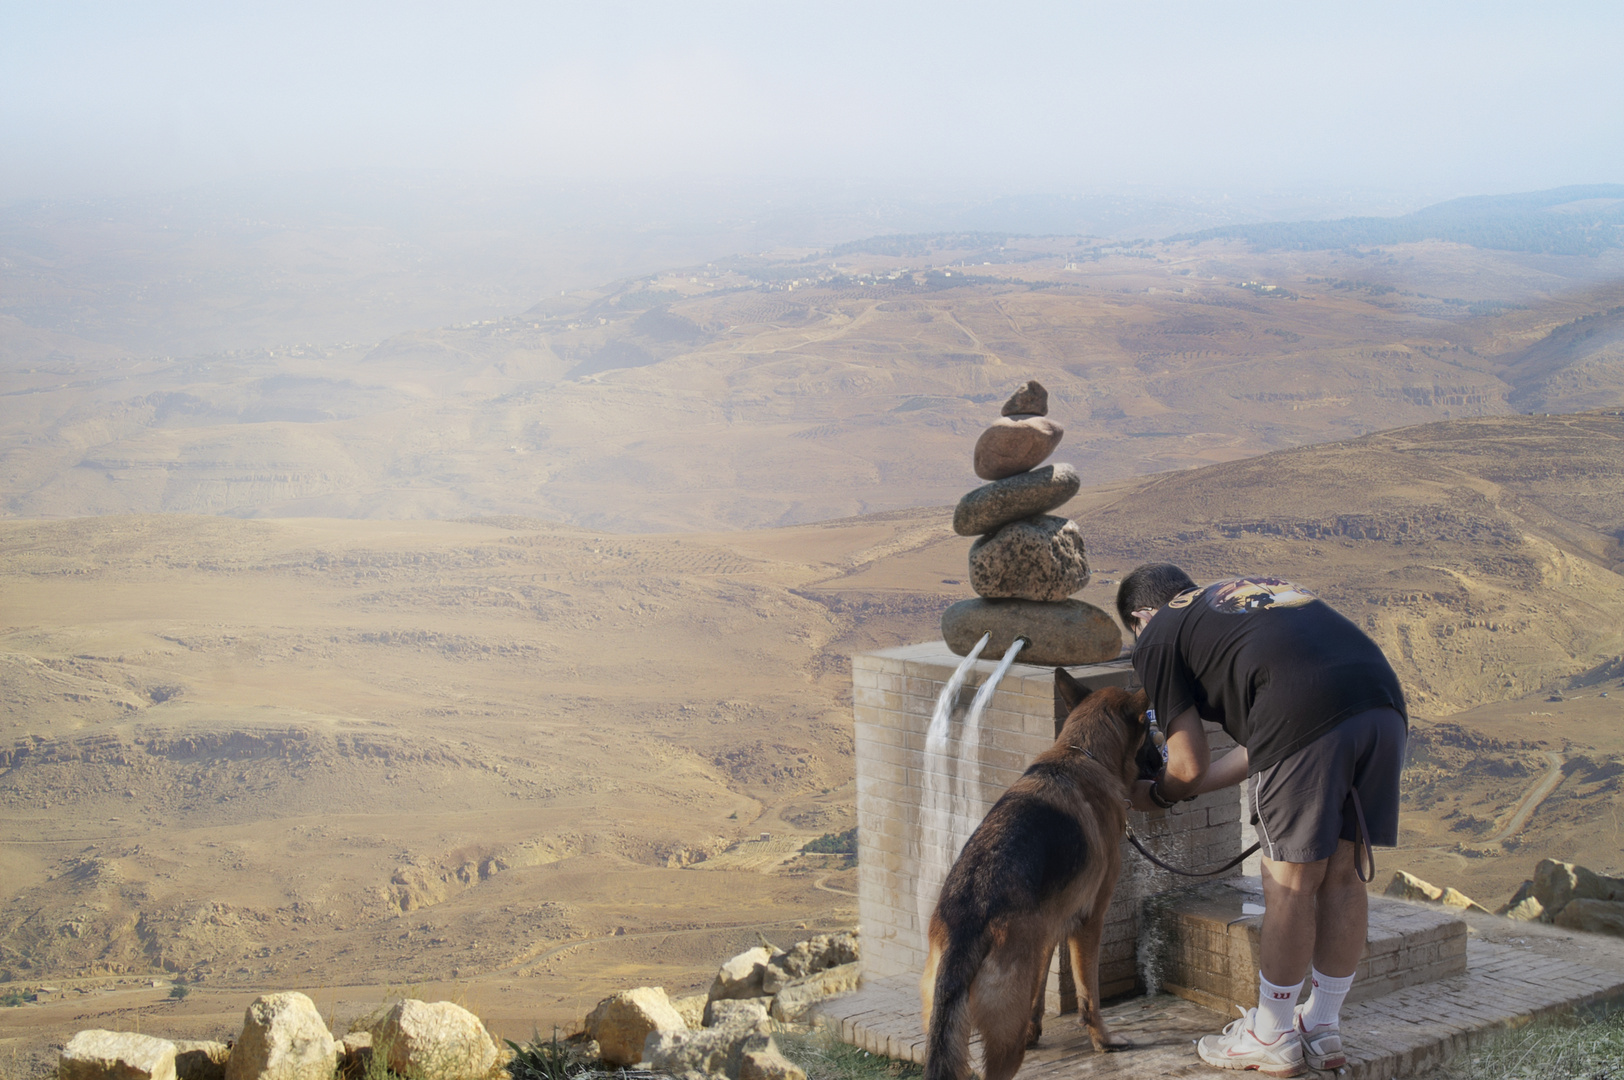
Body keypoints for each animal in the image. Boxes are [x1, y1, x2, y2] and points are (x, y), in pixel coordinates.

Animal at [922, 675, 1149, 1078]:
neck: (1082, 752)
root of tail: (964, 927)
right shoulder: (1089, 922)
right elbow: (1089, 996)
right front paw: (1104, 1041)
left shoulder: (1047, 932)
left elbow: (1040, 989)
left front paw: (1037, 1030)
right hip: (1004, 1044)